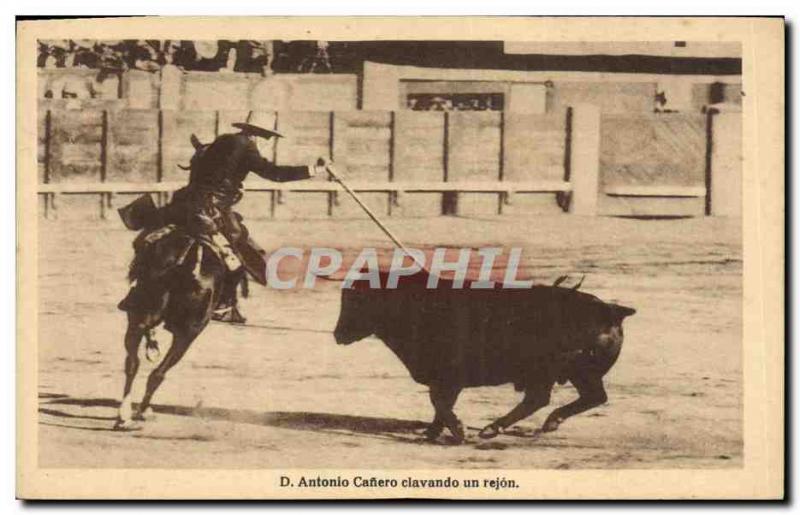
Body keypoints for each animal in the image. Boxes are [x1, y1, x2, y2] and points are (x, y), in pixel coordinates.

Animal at [330, 272, 632, 446]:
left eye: (357, 299)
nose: (337, 335)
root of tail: (611, 310)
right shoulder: (444, 380)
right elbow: (440, 404)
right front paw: (432, 433)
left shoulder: (449, 376)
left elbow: (439, 402)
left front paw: (457, 431)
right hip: (563, 374)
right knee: (563, 399)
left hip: (571, 372)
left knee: (570, 398)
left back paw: (497, 428)